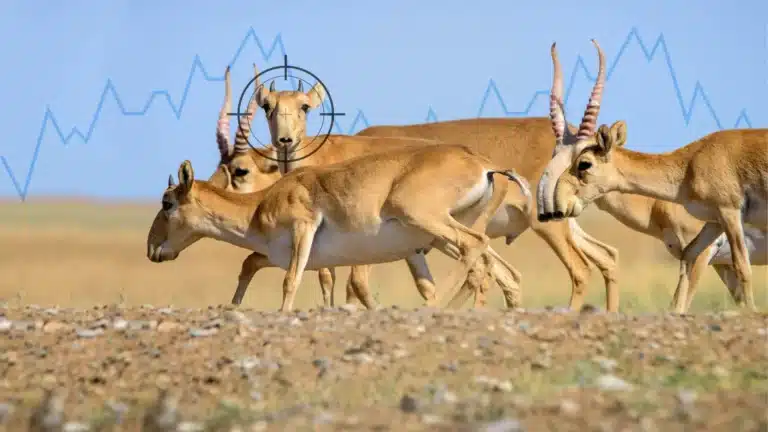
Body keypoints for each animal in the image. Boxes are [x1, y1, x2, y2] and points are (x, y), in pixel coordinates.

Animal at [150, 142, 536, 310]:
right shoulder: (276, 254)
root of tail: (483, 164)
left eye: (167, 202)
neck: (261, 204)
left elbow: (290, 282)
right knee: (497, 268)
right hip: (439, 235)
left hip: (429, 222)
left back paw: (433, 307)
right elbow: (248, 264)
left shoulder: (303, 230)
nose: (152, 249)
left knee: (474, 247)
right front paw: (233, 308)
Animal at [536, 38, 764, 312]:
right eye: (554, 155)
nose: (554, 208)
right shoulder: (714, 237)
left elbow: (739, 271)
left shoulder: (723, 225)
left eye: (584, 163)